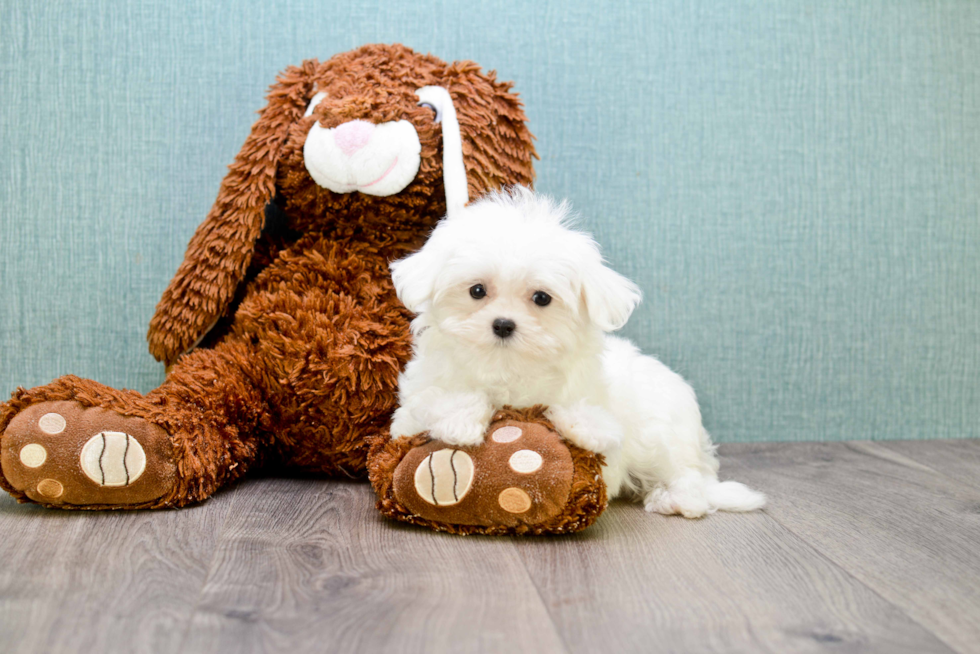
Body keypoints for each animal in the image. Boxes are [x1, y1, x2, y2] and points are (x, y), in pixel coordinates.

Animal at [386, 187, 760, 520]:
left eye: (541, 298)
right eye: (477, 291)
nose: (503, 324)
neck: (507, 369)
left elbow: (601, 433)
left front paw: (587, 425)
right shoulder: (413, 407)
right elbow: (433, 400)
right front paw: (459, 420)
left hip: (665, 435)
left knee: (688, 478)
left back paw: (675, 499)